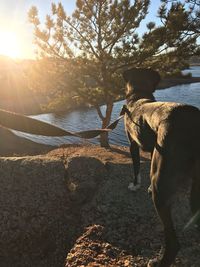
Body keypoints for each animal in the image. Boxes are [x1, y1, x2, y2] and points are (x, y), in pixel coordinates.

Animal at [122, 69, 199, 267]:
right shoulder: (151, 149)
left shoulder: (133, 144)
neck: (139, 95)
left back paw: (159, 261)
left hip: (161, 187)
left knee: (173, 242)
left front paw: (135, 185)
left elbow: (136, 167)